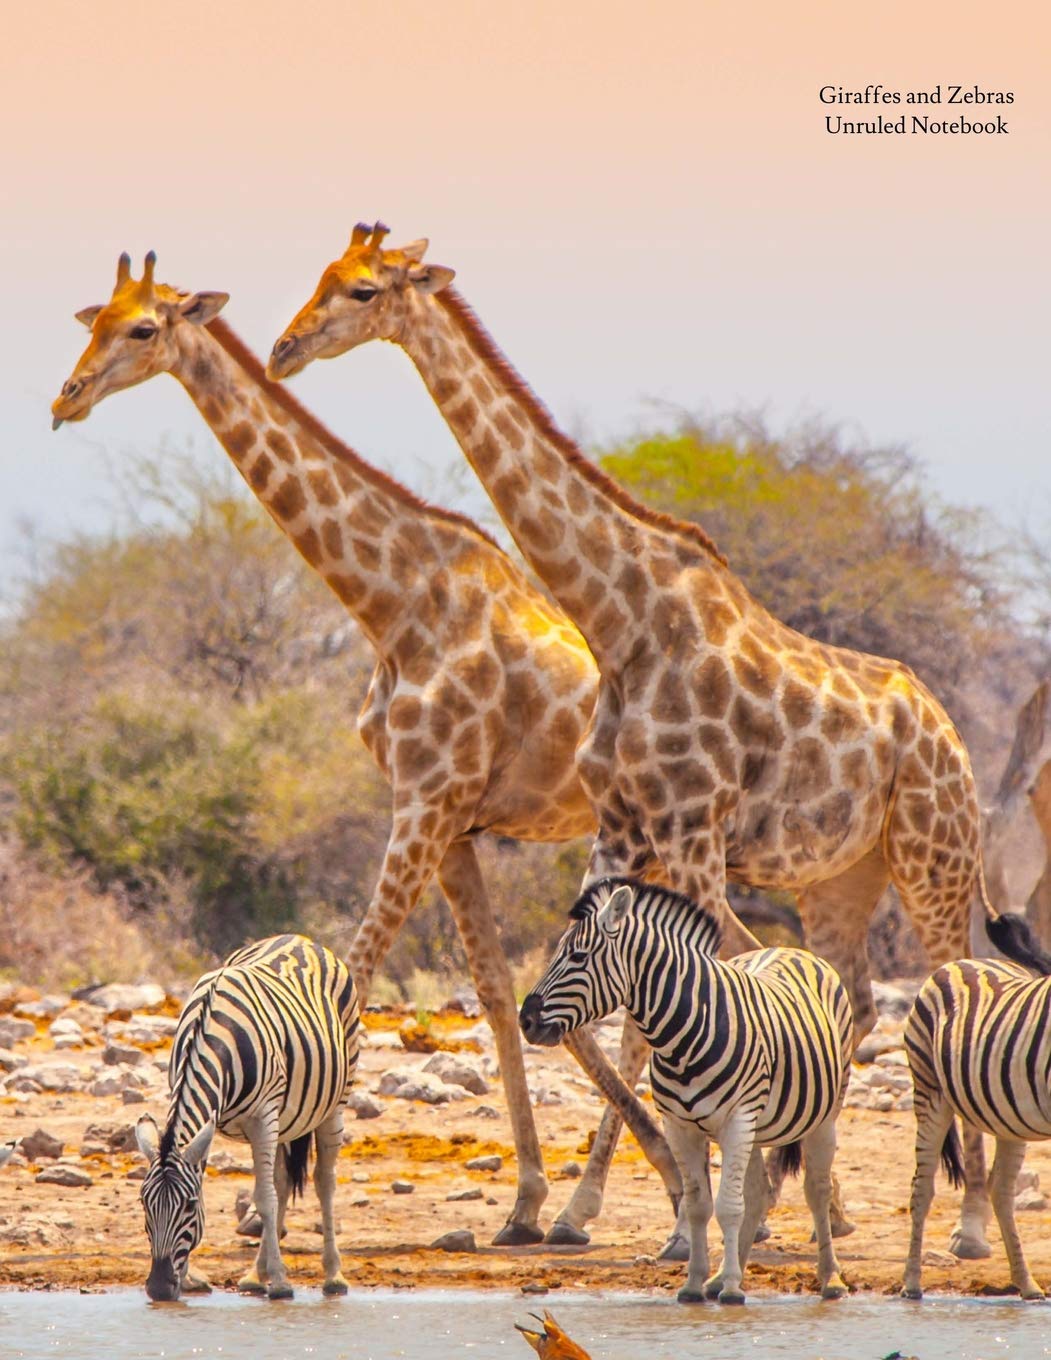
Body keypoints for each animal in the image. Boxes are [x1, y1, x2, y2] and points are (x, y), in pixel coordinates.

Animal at [50, 249, 691, 1246]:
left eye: (144, 329)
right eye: (95, 322)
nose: (65, 398)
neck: (395, 603)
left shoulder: (423, 802)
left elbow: (353, 975)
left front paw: (260, 1199)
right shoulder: (453, 822)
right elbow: (493, 997)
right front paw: (521, 1201)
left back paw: (614, 1206)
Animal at [135, 933, 360, 1301]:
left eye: (189, 1205)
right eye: (144, 1203)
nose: (159, 1289)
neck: (212, 1034)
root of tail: (299, 938)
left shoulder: (263, 1116)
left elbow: (264, 1199)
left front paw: (281, 1283)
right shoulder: (209, 1116)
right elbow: (264, 1192)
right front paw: (191, 1278)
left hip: (334, 1101)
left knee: (323, 1181)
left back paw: (333, 1276)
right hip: (286, 1118)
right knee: (282, 1182)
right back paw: (256, 1274)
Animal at [268, 223, 1038, 1259]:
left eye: (359, 291)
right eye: (319, 276)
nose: (284, 348)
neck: (620, 617)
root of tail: (950, 732)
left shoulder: (693, 829)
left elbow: (704, 995)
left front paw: (705, 1205)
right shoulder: (625, 827)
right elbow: (597, 1010)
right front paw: (657, 1208)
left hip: (933, 859)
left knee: (956, 980)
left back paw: (961, 1223)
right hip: (842, 878)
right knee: (853, 993)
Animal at [519, 878, 853, 1305]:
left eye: (578, 956)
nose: (525, 1020)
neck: (682, 1035)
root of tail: (791, 949)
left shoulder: (737, 1119)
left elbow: (728, 1206)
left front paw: (731, 1291)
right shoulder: (680, 1125)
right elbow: (699, 1205)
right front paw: (697, 1284)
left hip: (823, 1113)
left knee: (815, 1190)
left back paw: (830, 1279)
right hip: (757, 1125)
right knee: (758, 1191)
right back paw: (725, 1277)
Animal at [902, 956, 1051, 1300]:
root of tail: (964, 961)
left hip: (1010, 1120)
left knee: (1001, 1191)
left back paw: (1027, 1284)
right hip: (929, 1090)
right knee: (921, 1188)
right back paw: (911, 1283)